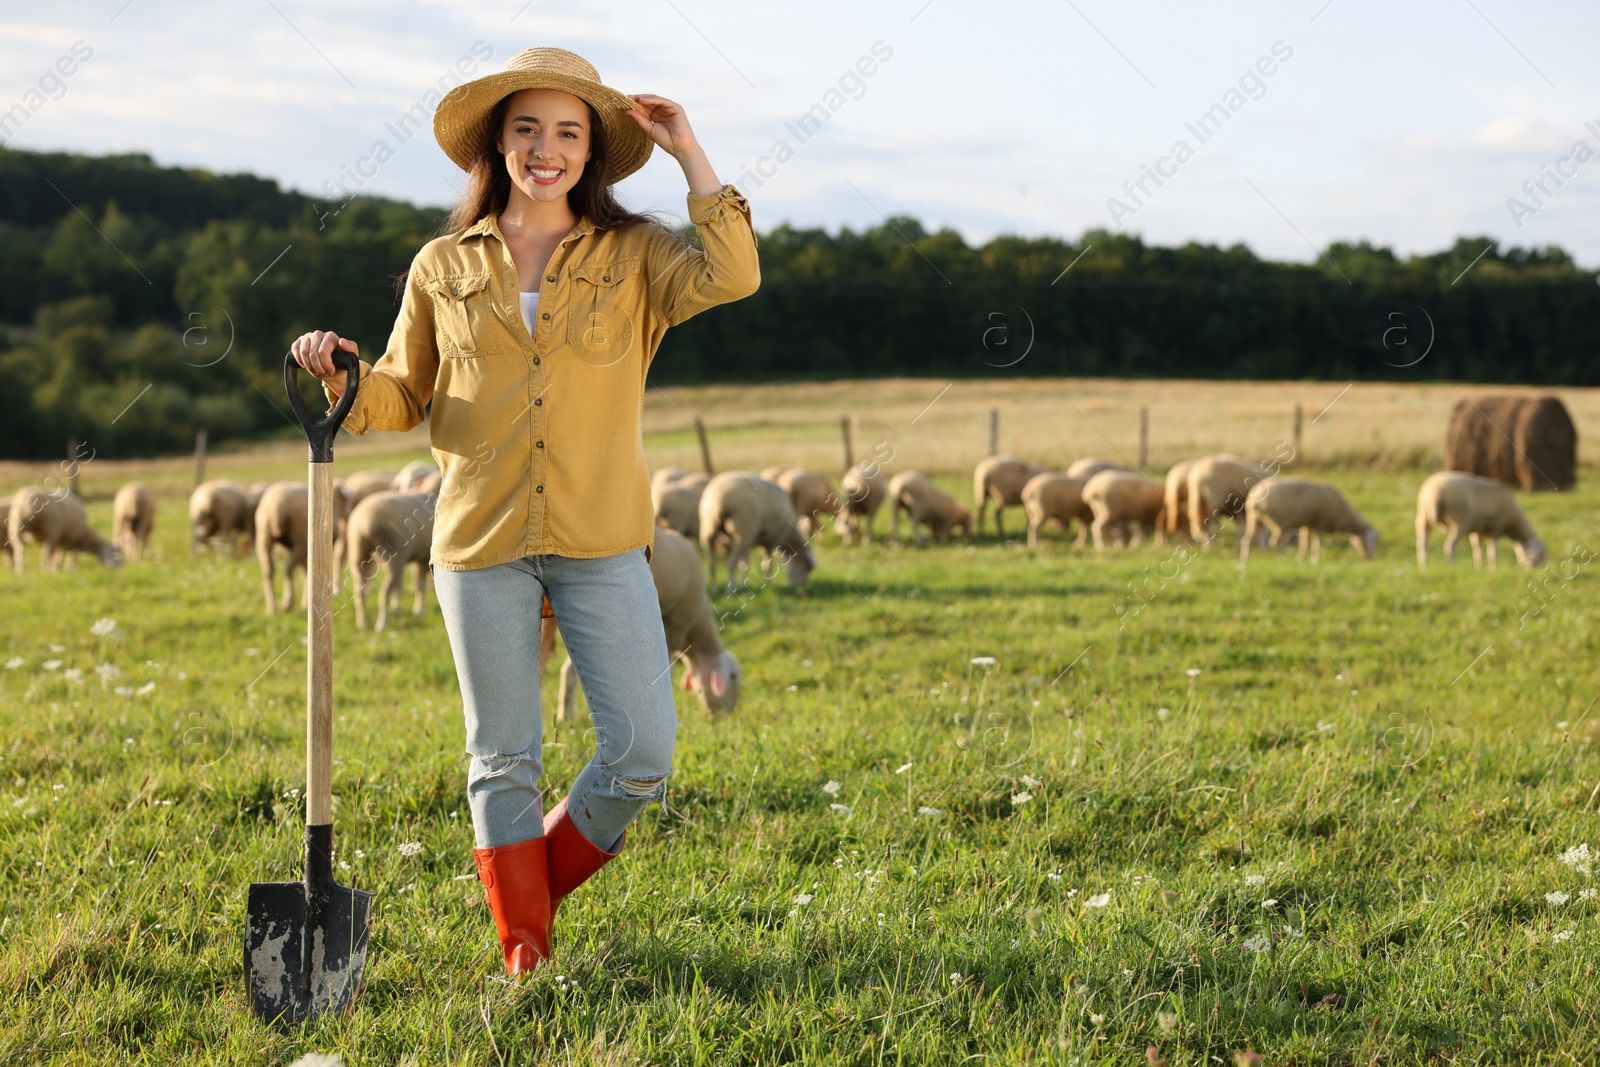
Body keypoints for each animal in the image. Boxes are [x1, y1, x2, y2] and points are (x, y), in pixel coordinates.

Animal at [342, 489, 435, 630]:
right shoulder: (423, 558)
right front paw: (419, 612)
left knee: (360, 591)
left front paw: (396, 609)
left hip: (358, 554)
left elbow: (400, 584)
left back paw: (362, 623)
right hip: (396, 554)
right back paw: (382, 624)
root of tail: (366, 522)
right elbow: (420, 587)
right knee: (384, 592)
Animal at [1235, 476, 1376, 563]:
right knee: (1276, 542)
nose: (1370, 558)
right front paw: (1316, 559)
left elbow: (1304, 543)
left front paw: (1300, 559)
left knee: (1247, 539)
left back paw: (1245, 559)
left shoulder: (1307, 525)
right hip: (1280, 522)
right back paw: (1282, 559)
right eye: (1372, 541)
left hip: (1254, 519)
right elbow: (1316, 543)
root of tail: (1255, 500)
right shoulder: (1320, 523)